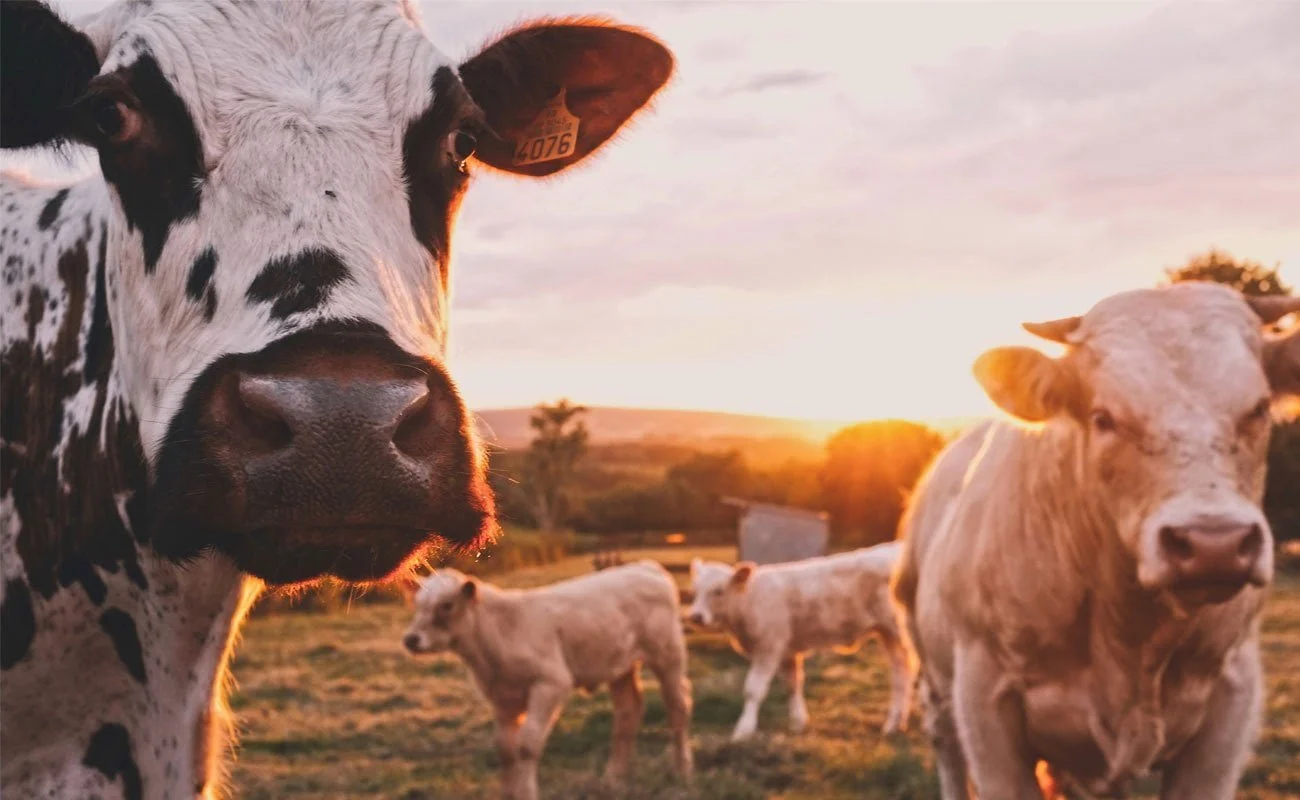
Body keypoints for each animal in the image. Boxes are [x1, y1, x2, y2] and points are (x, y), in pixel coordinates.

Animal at [401, 561, 694, 800]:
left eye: (446, 605)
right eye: (417, 604)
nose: (411, 639)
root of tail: (646, 567)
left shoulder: (551, 683)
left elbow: (527, 745)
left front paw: (526, 793)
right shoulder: (502, 698)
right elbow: (505, 749)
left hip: (668, 655)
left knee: (677, 706)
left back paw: (682, 770)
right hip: (619, 666)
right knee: (627, 712)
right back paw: (613, 779)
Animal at [687, 542, 912, 740]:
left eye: (719, 591)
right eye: (695, 590)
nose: (696, 616)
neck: (749, 601)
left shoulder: (769, 647)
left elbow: (753, 690)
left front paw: (744, 730)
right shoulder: (787, 650)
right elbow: (793, 684)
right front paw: (797, 722)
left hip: (899, 630)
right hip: (887, 633)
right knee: (900, 672)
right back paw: (895, 724)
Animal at [891, 282, 1300, 799]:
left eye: (1259, 408)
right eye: (1103, 417)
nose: (1215, 544)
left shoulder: (1231, 701)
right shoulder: (986, 706)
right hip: (934, 678)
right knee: (946, 747)